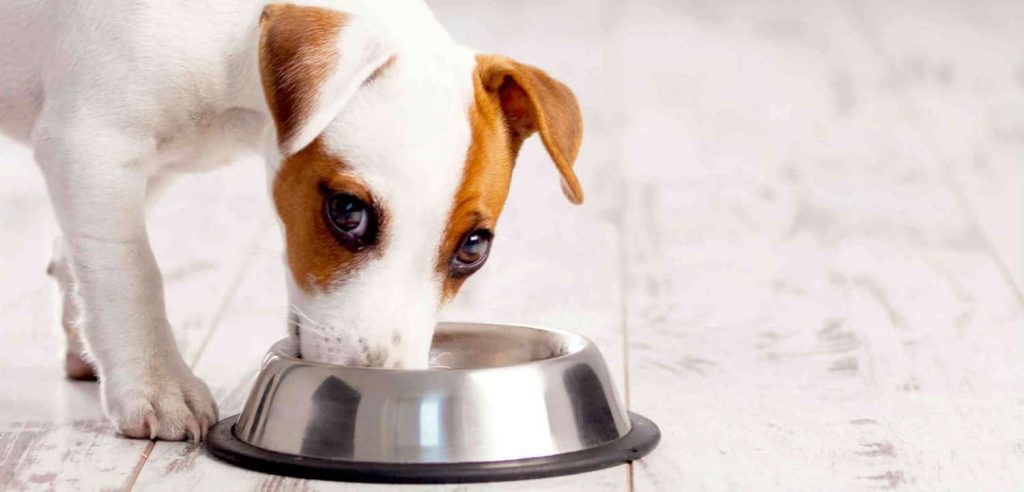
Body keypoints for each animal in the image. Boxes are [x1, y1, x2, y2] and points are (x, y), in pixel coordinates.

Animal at [0, 0, 581, 442]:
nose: (381, 387)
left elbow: (84, 254)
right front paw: (157, 383)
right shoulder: (92, 144)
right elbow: (129, 273)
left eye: (473, 247)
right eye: (347, 212)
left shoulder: (145, 167)